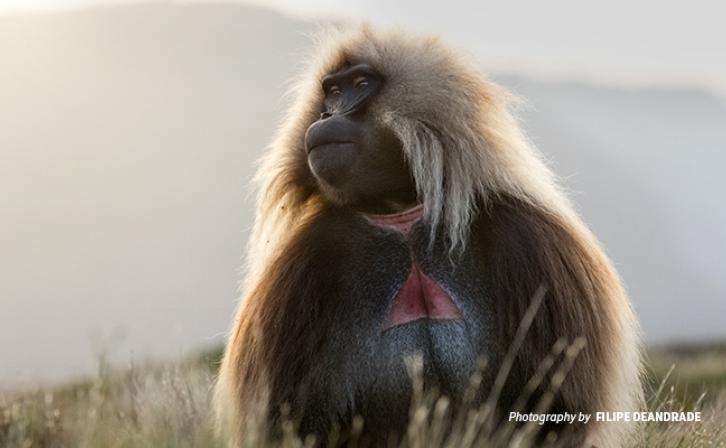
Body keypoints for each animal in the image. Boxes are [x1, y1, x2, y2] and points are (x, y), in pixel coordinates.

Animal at [215, 25, 642, 447]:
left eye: (360, 84)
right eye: (332, 90)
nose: (327, 115)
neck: (400, 214)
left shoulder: (531, 238)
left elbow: (557, 405)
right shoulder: (307, 260)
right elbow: (286, 416)